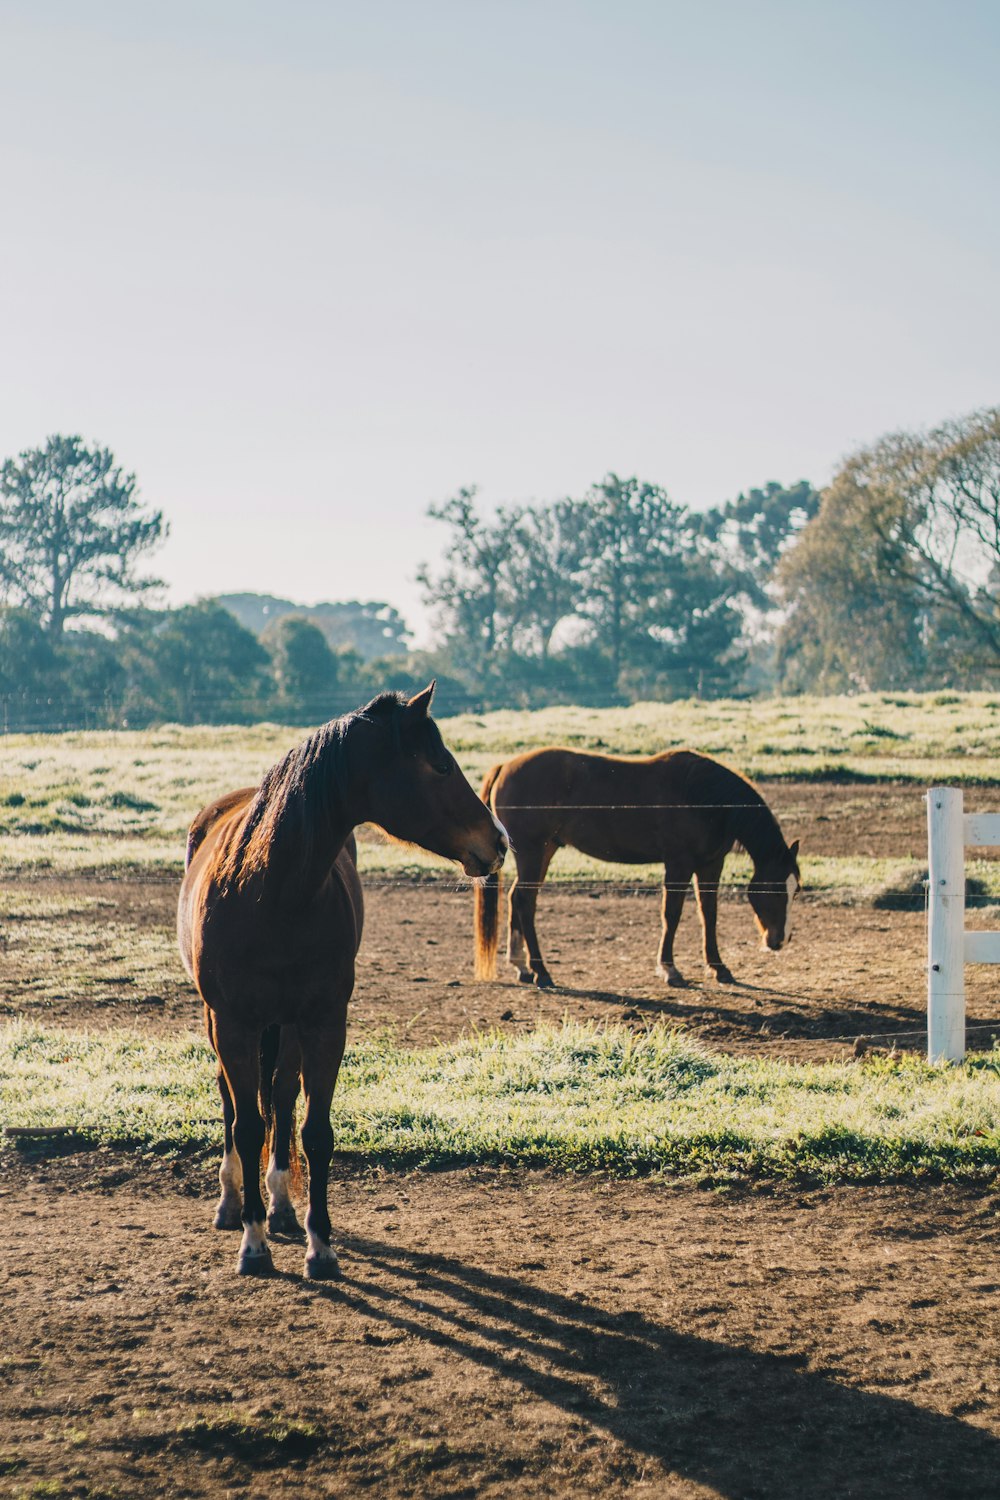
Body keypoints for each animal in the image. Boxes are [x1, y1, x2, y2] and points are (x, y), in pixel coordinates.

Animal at [177, 684, 509, 1278]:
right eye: (441, 765)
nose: (499, 841)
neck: (269, 891)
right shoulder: (234, 1023)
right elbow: (246, 1125)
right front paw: (253, 1244)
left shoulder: (325, 1022)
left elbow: (313, 1131)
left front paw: (320, 1245)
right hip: (222, 1022)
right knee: (232, 1101)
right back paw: (233, 1203)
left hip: (287, 1026)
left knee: (282, 1096)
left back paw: (282, 1207)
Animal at [476, 744, 797, 990]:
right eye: (776, 889)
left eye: (795, 890)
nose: (779, 940)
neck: (705, 798)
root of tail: (505, 767)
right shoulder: (678, 863)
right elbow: (672, 914)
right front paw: (670, 969)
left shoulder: (710, 864)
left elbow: (709, 914)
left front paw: (719, 967)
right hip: (534, 852)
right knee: (525, 901)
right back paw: (541, 971)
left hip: (545, 851)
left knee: (517, 898)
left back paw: (522, 966)